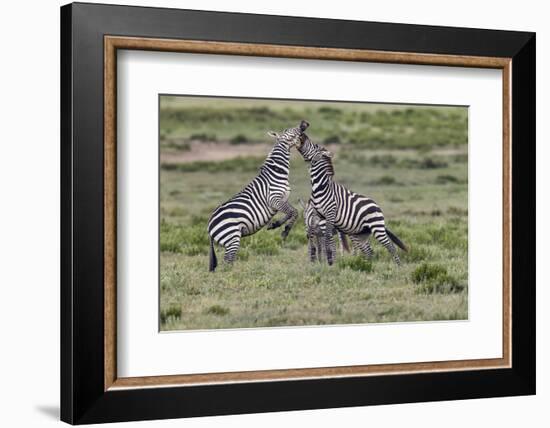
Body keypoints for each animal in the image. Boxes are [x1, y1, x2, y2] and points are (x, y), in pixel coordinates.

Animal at [207, 120, 310, 270]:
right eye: (290, 130)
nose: (304, 122)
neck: (276, 171)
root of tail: (209, 227)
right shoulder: (274, 199)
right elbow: (294, 212)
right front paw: (285, 231)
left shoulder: (283, 199)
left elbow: (290, 212)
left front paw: (275, 225)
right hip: (232, 237)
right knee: (228, 261)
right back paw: (232, 275)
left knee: (227, 261)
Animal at [296, 135, 408, 266]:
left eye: (315, 146)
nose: (303, 135)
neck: (320, 187)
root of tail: (376, 206)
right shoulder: (317, 216)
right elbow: (318, 243)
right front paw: (321, 262)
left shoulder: (329, 214)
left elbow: (328, 242)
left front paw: (330, 263)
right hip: (361, 234)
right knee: (369, 251)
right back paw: (366, 265)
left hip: (376, 227)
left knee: (390, 246)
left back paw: (398, 266)